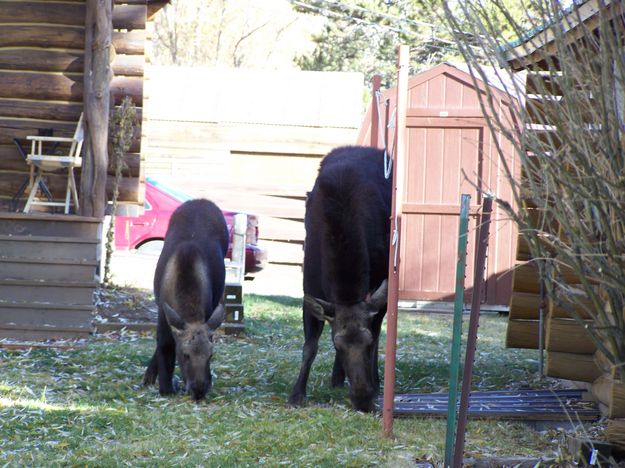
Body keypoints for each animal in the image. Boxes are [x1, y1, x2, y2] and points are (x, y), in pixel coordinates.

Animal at [142, 199, 227, 400]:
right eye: (186, 354)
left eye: (210, 355)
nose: (199, 390)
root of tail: (202, 201)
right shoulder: (163, 313)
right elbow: (165, 345)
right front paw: (165, 384)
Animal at [288, 147, 390, 414]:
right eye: (337, 345)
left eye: (366, 344)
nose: (363, 398)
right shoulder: (309, 287)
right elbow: (310, 346)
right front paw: (297, 393)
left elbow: (378, 336)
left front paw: (375, 384)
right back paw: (336, 378)